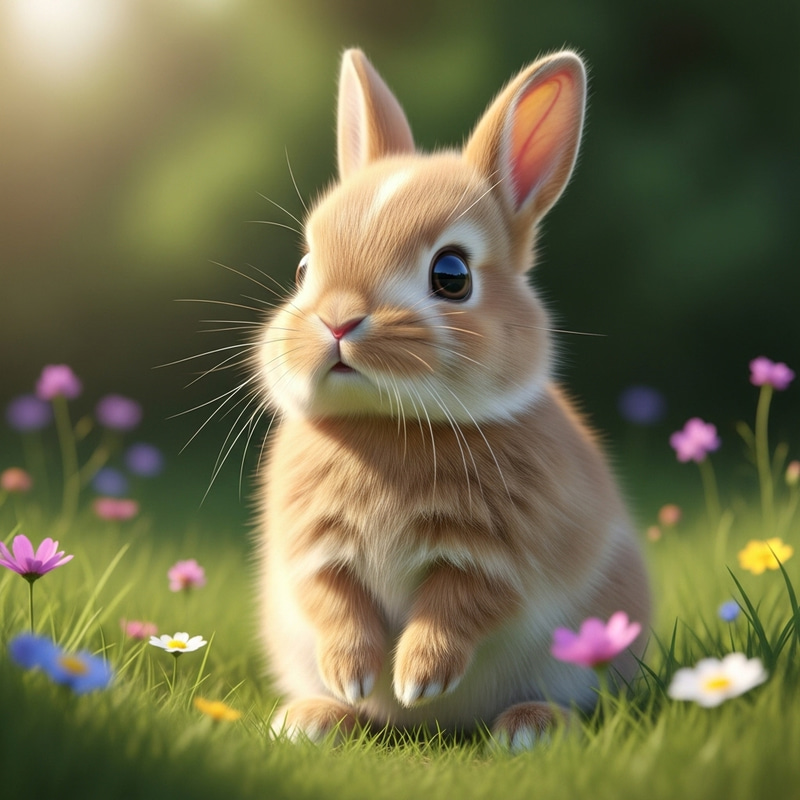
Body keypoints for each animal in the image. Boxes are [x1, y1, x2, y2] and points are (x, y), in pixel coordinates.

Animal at [255, 47, 651, 749]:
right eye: (303, 271)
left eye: (452, 275)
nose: (335, 320)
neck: (389, 425)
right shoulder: (314, 552)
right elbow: (333, 603)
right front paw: (353, 677)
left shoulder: (496, 558)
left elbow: (456, 608)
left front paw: (416, 679)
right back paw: (315, 717)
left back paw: (529, 729)